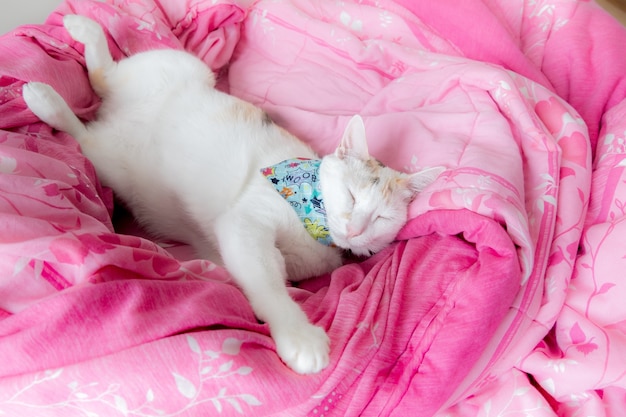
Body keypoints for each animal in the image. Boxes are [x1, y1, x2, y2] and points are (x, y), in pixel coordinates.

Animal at [24, 15, 442, 374]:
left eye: (382, 218)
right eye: (353, 197)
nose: (355, 229)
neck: (312, 217)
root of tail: (114, 120)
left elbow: (270, 271)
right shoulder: (245, 222)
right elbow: (267, 285)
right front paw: (298, 336)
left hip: (114, 161)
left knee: (87, 127)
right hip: (182, 68)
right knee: (100, 83)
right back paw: (61, 68)